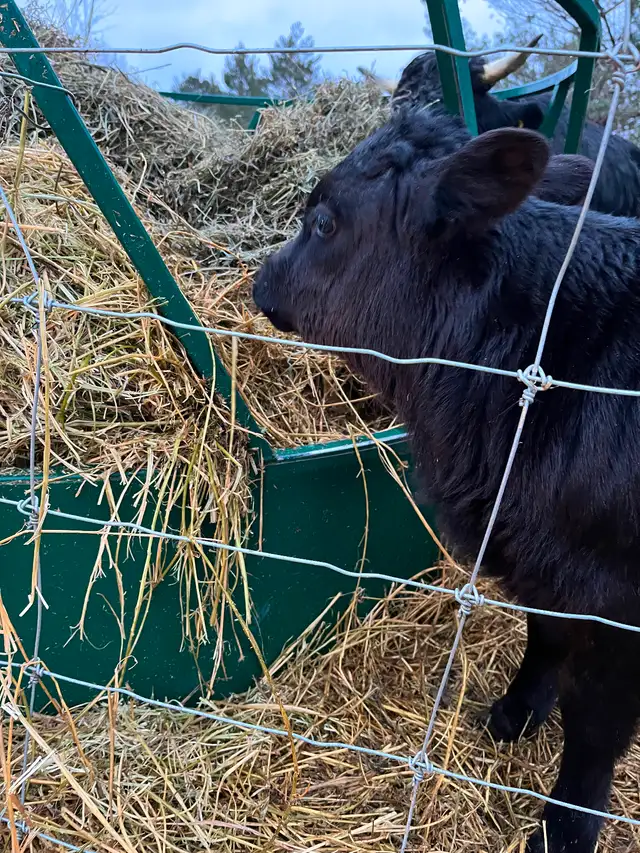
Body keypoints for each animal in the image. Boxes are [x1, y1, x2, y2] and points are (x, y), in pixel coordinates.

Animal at [252, 105, 640, 853]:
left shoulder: (614, 601)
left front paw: (566, 827)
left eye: (325, 221)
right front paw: (516, 712)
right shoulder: (539, 558)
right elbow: (544, 639)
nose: (262, 278)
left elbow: (595, 729)